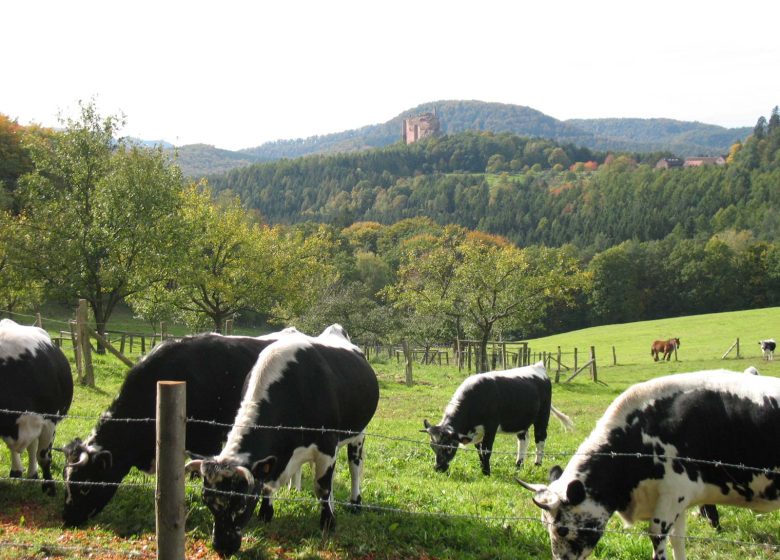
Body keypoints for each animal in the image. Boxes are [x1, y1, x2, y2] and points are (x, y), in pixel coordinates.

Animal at [0, 320, 73, 494]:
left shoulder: (49, 421)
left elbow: (43, 457)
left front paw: (49, 486)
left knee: (32, 448)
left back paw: (32, 474)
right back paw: (17, 470)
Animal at [184, 326, 378, 556]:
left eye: (241, 502)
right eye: (207, 501)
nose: (221, 547)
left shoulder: (327, 446)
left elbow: (322, 487)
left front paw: (328, 522)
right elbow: (268, 485)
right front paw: (265, 513)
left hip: (358, 433)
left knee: (354, 466)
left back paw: (355, 503)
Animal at [420, 360, 572, 474]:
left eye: (448, 447)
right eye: (433, 447)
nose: (438, 468)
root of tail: (538, 366)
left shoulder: (491, 426)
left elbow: (487, 449)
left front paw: (486, 472)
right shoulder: (478, 432)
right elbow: (479, 450)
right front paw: (482, 468)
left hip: (543, 415)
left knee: (540, 438)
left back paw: (537, 464)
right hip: (521, 421)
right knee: (523, 440)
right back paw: (518, 465)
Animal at [516, 372, 780, 560]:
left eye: (562, 529)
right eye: (544, 524)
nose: (560, 559)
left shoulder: (672, 496)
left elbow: (659, 541)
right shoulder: (681, 501)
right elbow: (678, 540)